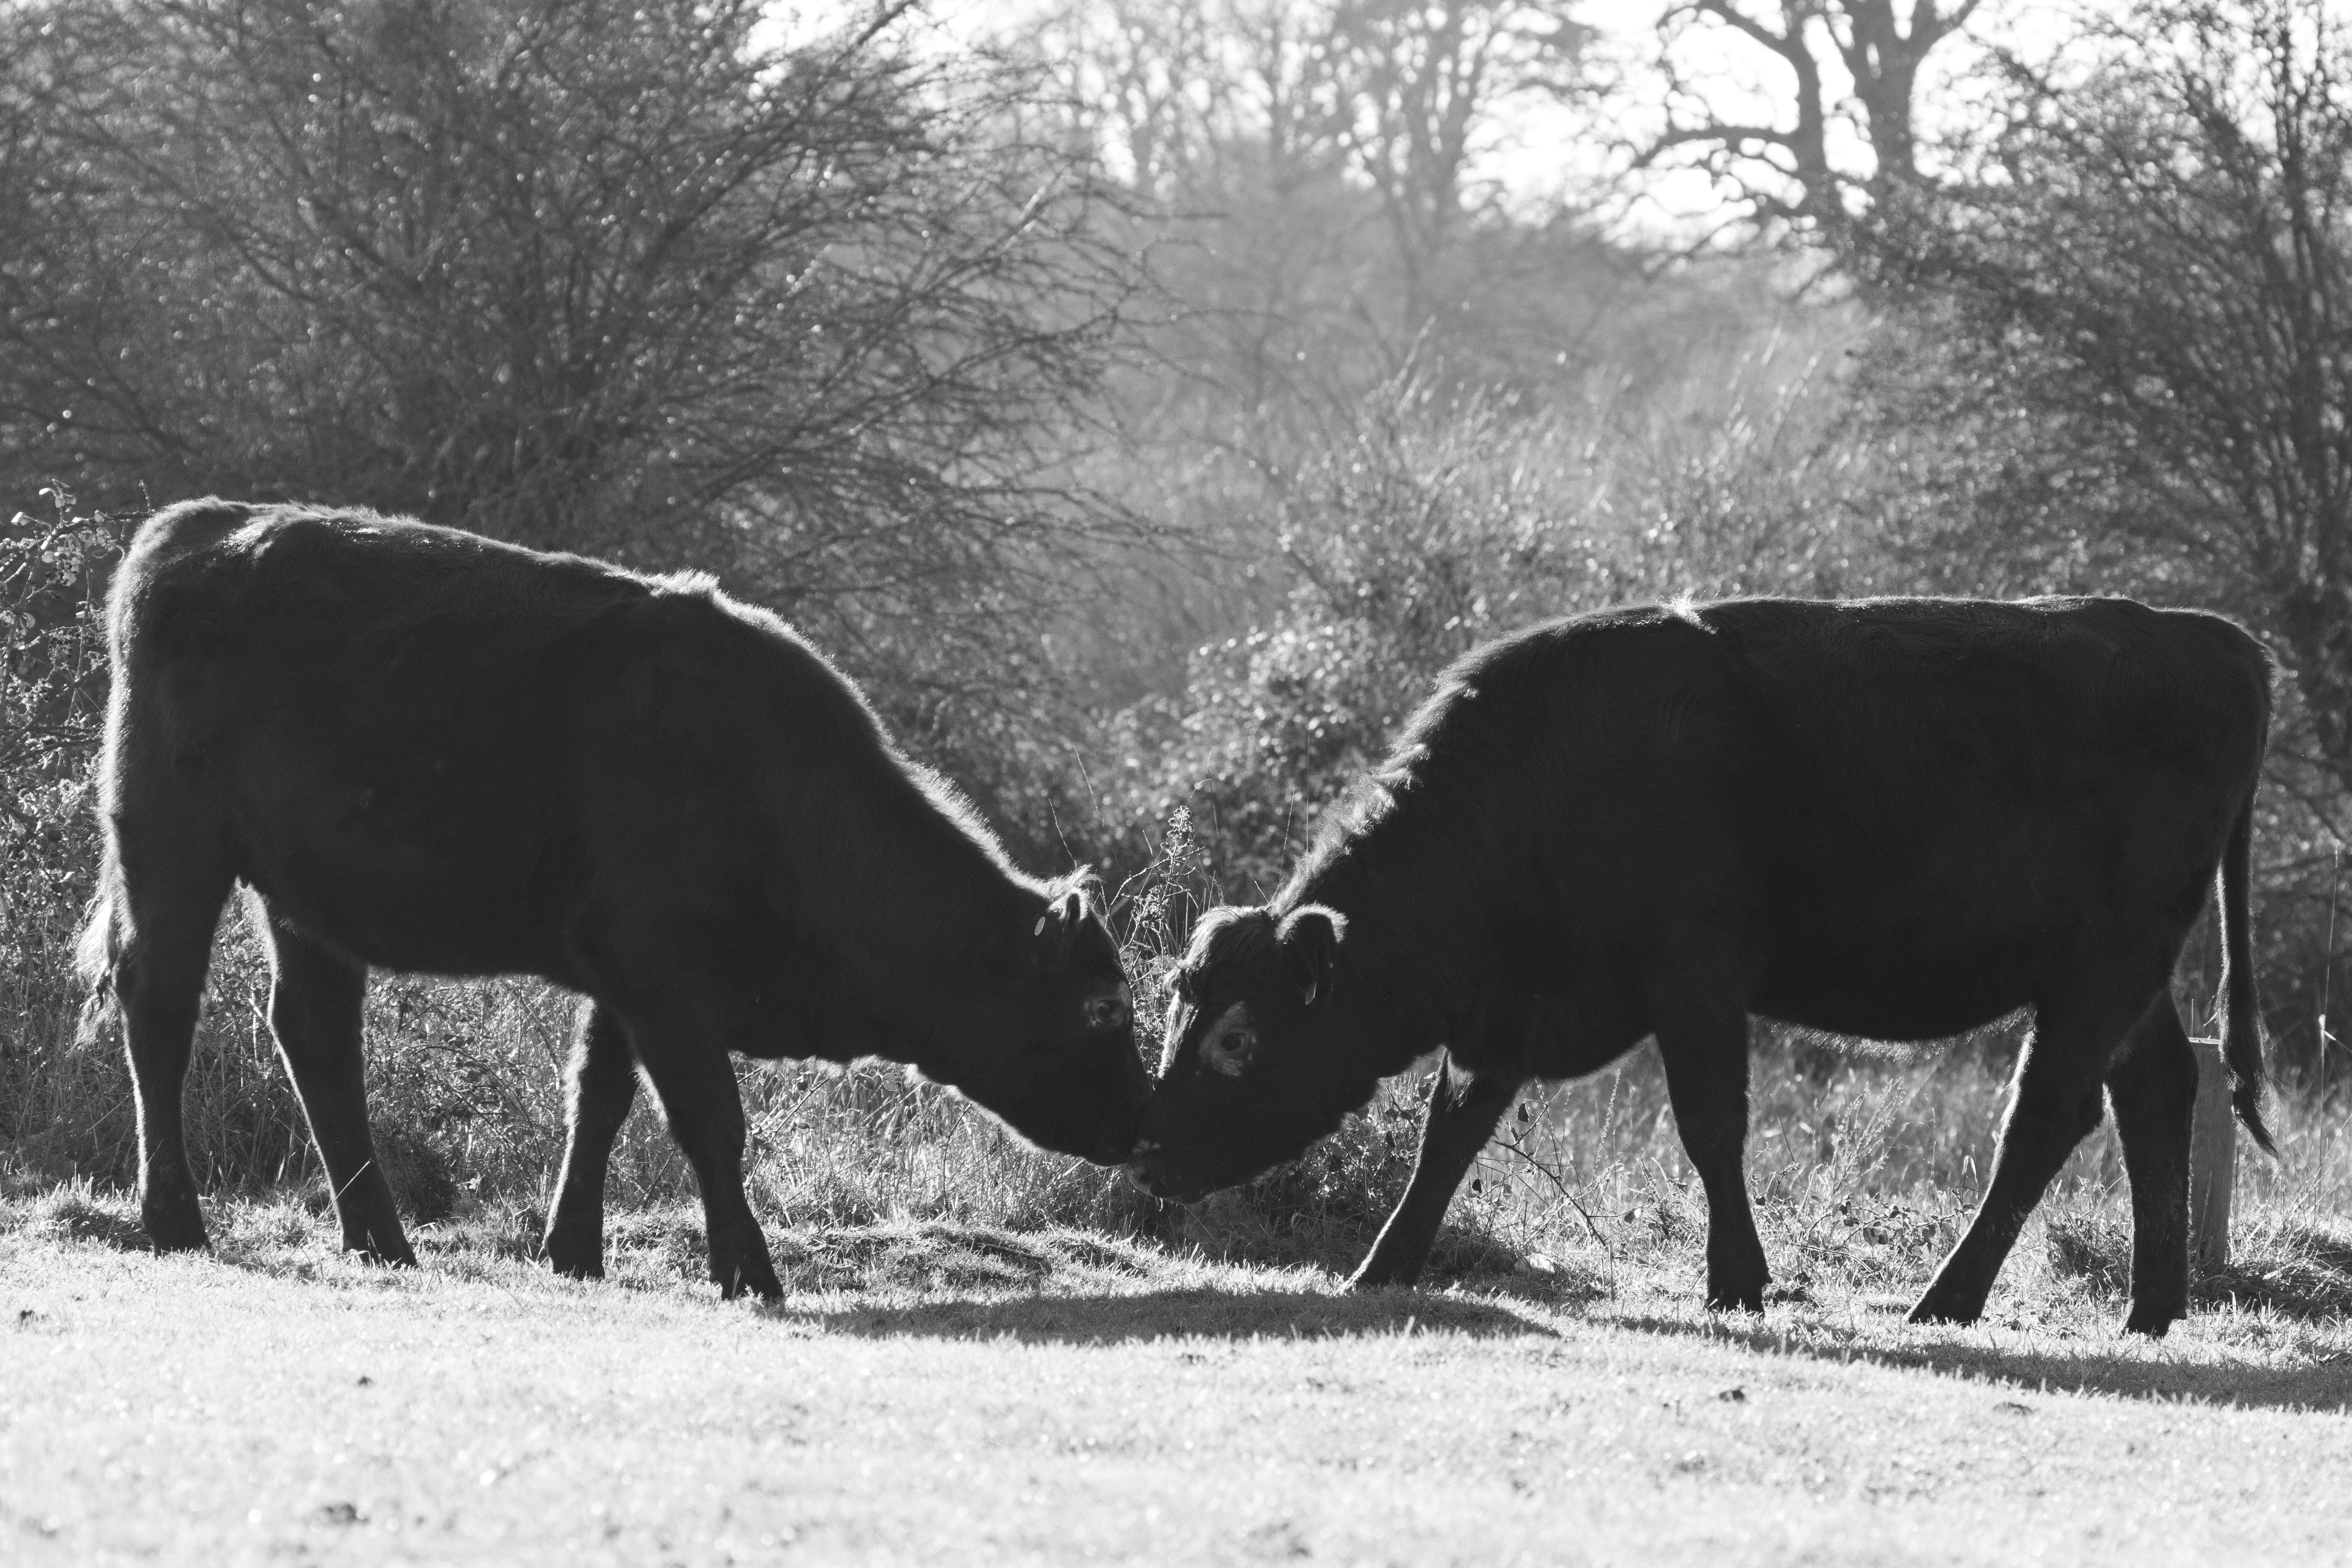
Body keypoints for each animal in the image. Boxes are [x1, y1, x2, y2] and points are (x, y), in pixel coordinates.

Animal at [77, 499, 1148, 1299]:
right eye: (1104, 1006)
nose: (1145, 1121)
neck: (771, 778)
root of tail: (195, 524)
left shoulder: (623, 977)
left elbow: (597, 1096)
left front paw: (573, 1250)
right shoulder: (662, 973)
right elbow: (708, 1117)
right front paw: (750, 1272)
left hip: (304, 901)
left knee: (317, 1035)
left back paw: (381, 1238)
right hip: (171, 847)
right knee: (161, 1005)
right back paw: (176, 1220)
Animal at [1128, 596, 2276, 1336]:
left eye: (1237, 1036)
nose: (1145, 1153)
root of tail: (2212, 637)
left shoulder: (1696, 978)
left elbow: (1710, 1124)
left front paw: (1735, 1279)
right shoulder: (1508, 1014)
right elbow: (1449, 1134)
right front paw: (1383, 1264)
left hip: (2104, 964)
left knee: (2045, 1116)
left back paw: (1948, 1299)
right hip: (2124, 974)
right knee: (2155, 1088)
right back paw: (2149, 1307)